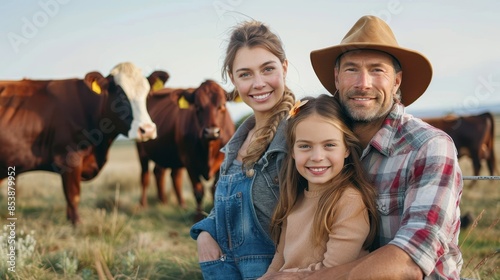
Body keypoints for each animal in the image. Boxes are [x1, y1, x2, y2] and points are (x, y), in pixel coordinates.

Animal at [0, 62, 170, 224]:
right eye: (121, 94)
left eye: (147, 94)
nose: (147, 130)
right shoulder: (69, 157)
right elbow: (73, 195)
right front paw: (77, 223)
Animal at [136, 79, 235, 219]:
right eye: (197, 107)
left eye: (222, 106)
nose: (211, 132)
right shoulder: (190, 163)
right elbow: (198, 191)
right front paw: (198, 216)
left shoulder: (222, 163)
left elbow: (215, 189)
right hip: (142, 152)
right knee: (145, 177)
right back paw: (143, 205)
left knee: (166, 175)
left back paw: (172, 204)